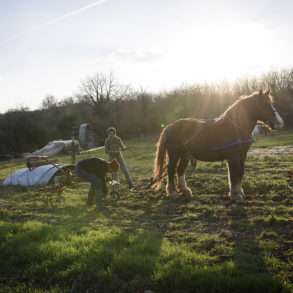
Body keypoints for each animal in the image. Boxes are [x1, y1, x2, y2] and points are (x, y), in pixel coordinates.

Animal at [153, 90, 282, 200]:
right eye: (264, 104)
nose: (278, 123)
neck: (236, 127)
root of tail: (170, 126)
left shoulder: (242, 156)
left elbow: (240, 173)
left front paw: (239, 192)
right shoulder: (233, 157)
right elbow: (234, 174)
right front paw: (235, 195)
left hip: (185, 155)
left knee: (180, 170)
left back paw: (185, 191)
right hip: (174, 154)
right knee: (171, 170)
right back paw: (172, 193)